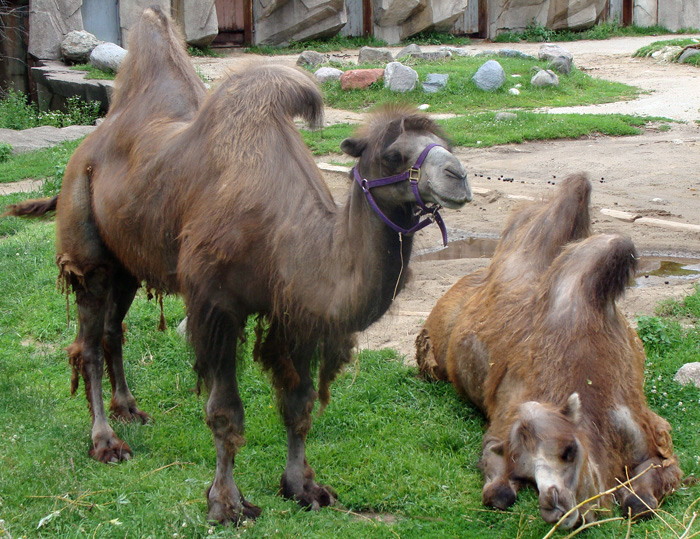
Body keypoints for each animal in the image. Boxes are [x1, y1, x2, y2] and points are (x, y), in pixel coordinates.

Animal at [5, 6, 470, 524]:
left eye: (446, 142)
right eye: (392, 154)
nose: (458, 176)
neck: (284, 230)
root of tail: (84, 151)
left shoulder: (293, 309)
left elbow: (298, 405)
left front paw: (302, 487)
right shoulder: (216, 306)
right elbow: (224, 411)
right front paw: (225, 502)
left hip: (128, 260)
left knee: (112, 330)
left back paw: (129, 409)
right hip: (87, 245)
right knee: (85, 343)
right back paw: (107, 442)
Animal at [416, 175, 680, 528]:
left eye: (570, 451)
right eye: (524, 464)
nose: (556, 505)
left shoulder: (648, 433)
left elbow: (643, 502)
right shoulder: (502, 429)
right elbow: (497, 491)